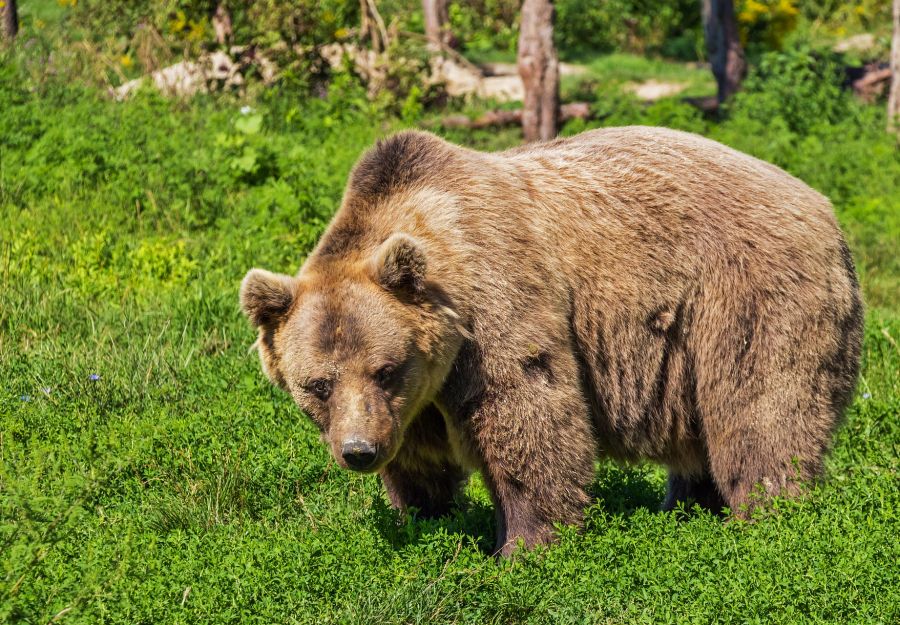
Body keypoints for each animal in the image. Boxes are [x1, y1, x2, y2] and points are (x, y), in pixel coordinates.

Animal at [239, 127, 864, 556]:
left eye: (385, 368)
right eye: (317, 384)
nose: (358, 451)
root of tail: (825, 209)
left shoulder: (495, 309)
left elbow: (529, 417)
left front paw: (523, 546)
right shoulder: (415, 400)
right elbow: (419, 461)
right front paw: (426, 517)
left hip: (746, 297)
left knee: (761, 412)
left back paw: (766, 518)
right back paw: (687, 508)